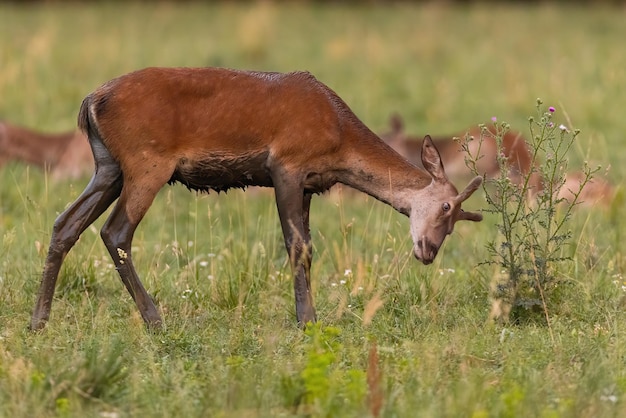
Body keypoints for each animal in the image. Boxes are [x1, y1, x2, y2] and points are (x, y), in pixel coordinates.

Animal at [29, 68, 482, 330]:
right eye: (447, 207)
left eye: (455, 221)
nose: (428, 251)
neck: (338, 139)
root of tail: (90, 103)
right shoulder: (287, 165)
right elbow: (298, 246)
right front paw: (307, 321)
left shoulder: (310, 183)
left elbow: (307, 246)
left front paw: (308, 315)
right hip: (146, 163)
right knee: (115, 231)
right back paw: (156, 320)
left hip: (108, 166)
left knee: (65, 223)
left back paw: (38, 321)